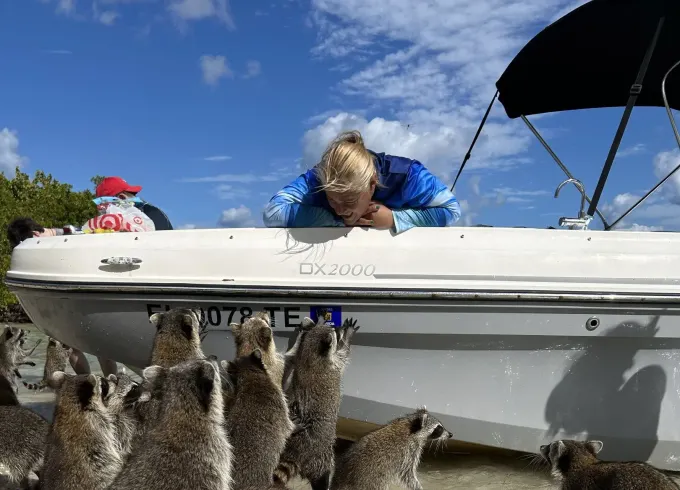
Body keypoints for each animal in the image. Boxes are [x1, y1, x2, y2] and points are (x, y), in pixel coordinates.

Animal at [273, 317, 360, 490]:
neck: (310, 356)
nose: (338, 328)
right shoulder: (334, 364)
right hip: (321, 455)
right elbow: (344, 353)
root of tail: (296, 454)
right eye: (335, 332)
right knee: (323, 472)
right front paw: (348, 335)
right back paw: (324, 482)